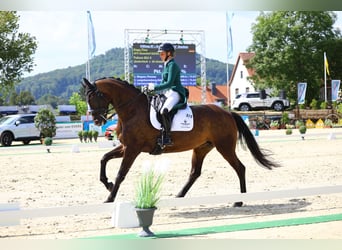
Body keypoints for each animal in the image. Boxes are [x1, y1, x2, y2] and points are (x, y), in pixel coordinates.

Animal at [83, 77, 280, 205]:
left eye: (93, 97)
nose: (97, 120)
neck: (132, 110)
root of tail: (228, 113)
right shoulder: (126, 147)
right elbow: (103, 158)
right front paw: (108, 185)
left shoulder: (133, 149)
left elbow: (121, 173)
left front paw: (110, 197)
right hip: (201, 148)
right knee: (195, 172)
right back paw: (179, 195)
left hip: (224, 147)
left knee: (240, 168)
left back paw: (239, 201)